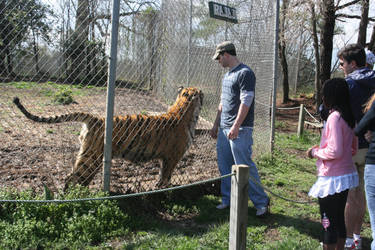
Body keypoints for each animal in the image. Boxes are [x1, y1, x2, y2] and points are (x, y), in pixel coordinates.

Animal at [12, 87, 203, 190]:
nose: (203, 93)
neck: (184, 108)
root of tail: (96, 119)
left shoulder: (165, 158)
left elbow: (161, 174)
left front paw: (158, 186)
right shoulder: (173, 157)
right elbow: (166, 176)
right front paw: (164, 188)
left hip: (89, 157)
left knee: (76, 178)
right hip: (91, 159)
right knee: (72, 179)